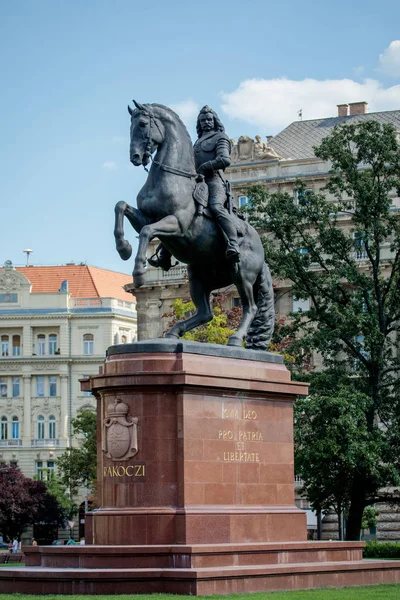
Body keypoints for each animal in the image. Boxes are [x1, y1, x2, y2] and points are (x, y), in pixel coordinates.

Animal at [112, 101, 276, 350]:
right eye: (130, 126)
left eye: (142, 124)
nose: (136, 156)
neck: (172, 178)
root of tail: (261, 249)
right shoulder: (146, 217)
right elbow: (121, 207)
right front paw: (123, 248)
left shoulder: (177, 224)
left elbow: (146, 232)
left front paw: (139, 272)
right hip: (199, 277)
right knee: (206, 313)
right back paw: (173, 332)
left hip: (242, 274)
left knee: (251, 307)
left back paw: (235, 339)